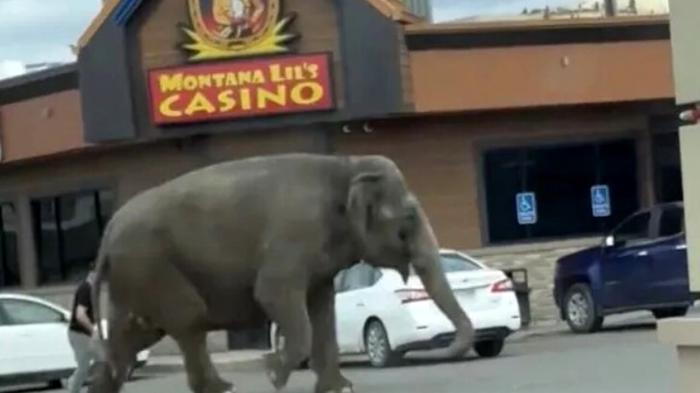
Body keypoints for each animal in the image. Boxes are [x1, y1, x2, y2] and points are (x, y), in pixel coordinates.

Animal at [86, 152, 470, 392]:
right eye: (408, 221)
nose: (439, 352)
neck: (346, 165)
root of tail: (107, 233)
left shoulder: (319, 261)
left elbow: (322, 308)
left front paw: (339, 388)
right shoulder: (294, 235)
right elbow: (273, 294)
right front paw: (273, 373)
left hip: (135, 276)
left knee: (131, 336)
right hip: (152, 265)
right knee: (189, 319)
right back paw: (222, 387)